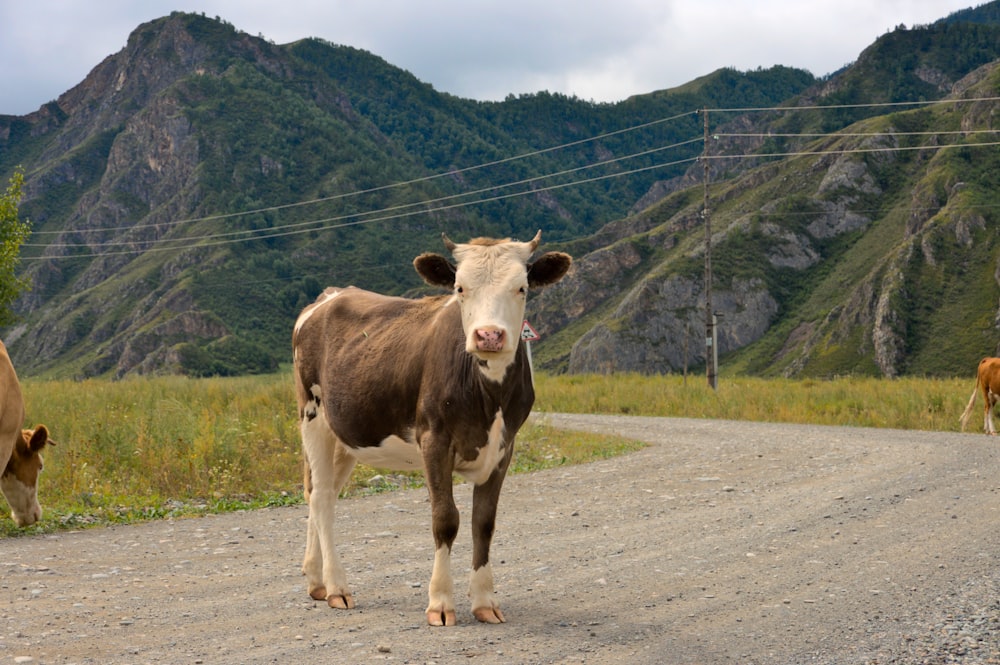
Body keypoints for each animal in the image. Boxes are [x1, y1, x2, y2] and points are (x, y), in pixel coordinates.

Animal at [292, 231, 572, 624]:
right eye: (459, 288)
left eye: (522, 288)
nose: (489, 336)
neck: (488, 395)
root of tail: (329, 295)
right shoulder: (434, 439)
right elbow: (446, 519)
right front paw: (440, 602)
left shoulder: (504, 446)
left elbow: (484, 522)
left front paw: (485, 601)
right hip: (312, 413)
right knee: (321, 499)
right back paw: (337, 587)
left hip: (347, 433)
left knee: (322, 492)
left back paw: (316, 580)